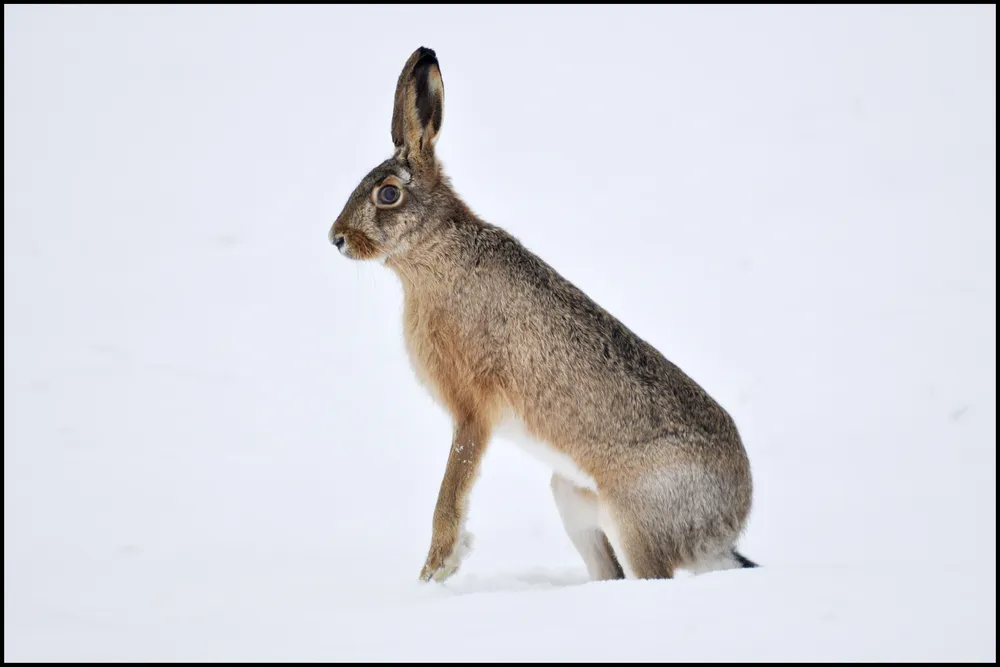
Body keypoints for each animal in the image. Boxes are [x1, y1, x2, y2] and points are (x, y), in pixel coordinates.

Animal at [328, 47, 758, 583]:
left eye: (388, 194)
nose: (336, 238)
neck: (433, 250)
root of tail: (723, 532)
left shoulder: (473, 409)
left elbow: (452, 491)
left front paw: (434, 573)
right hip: (570, 496)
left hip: (635, 521)